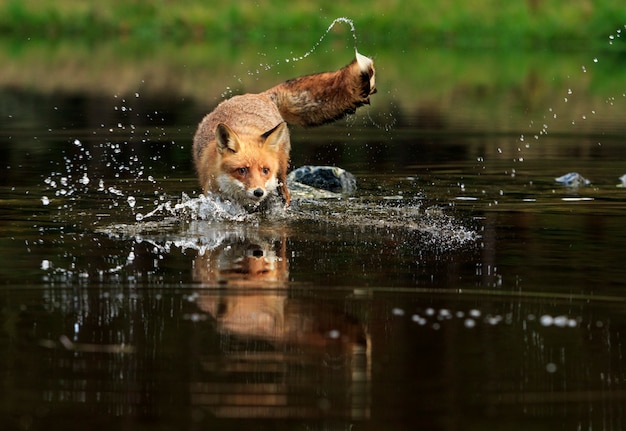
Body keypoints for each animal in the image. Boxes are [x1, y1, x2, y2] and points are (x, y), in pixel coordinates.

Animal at [193, 51, 372, 210]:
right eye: (242, 170)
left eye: (265, 170)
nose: (258, 192)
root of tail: (260, 95)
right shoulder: (213, 195)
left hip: (282, 172)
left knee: (285, 192)